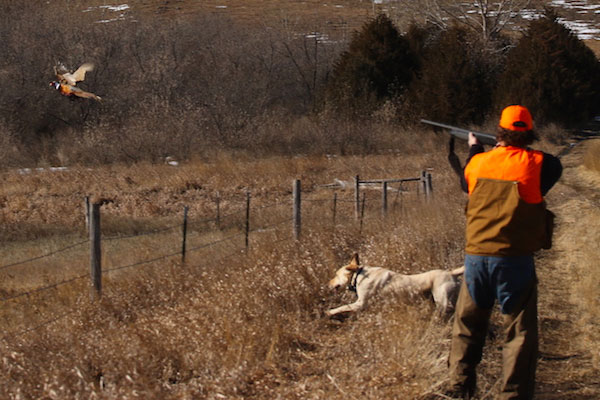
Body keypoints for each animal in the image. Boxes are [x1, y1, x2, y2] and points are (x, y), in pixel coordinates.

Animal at [328, 253, 464, 316]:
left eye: (336, 274)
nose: (328, 284)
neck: (358, 276)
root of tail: (451, 273)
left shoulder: (360, 303)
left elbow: (342, 307)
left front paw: (329, 312)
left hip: (441, 302)